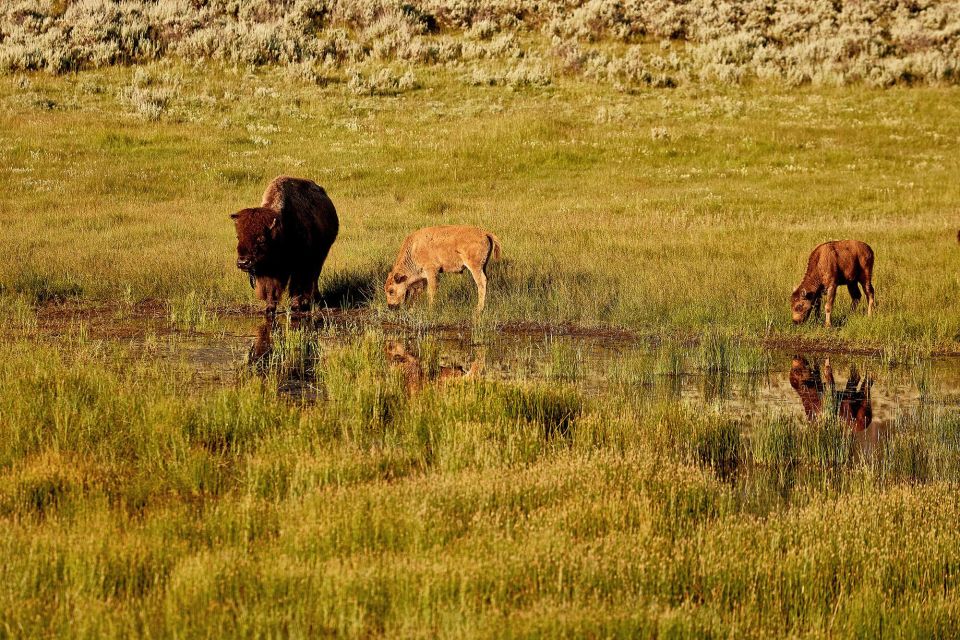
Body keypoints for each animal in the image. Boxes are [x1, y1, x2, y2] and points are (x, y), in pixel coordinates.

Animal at [231, 176, 340, 316]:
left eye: (262, 240)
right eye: (238, 237)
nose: (243, 262)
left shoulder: (299, 266)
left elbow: (296, 286)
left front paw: (295, 306)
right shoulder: (269, 271)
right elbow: (271, 288)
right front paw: (269, 308)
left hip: (320, 256)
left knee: (314, 278)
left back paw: (315, 298)